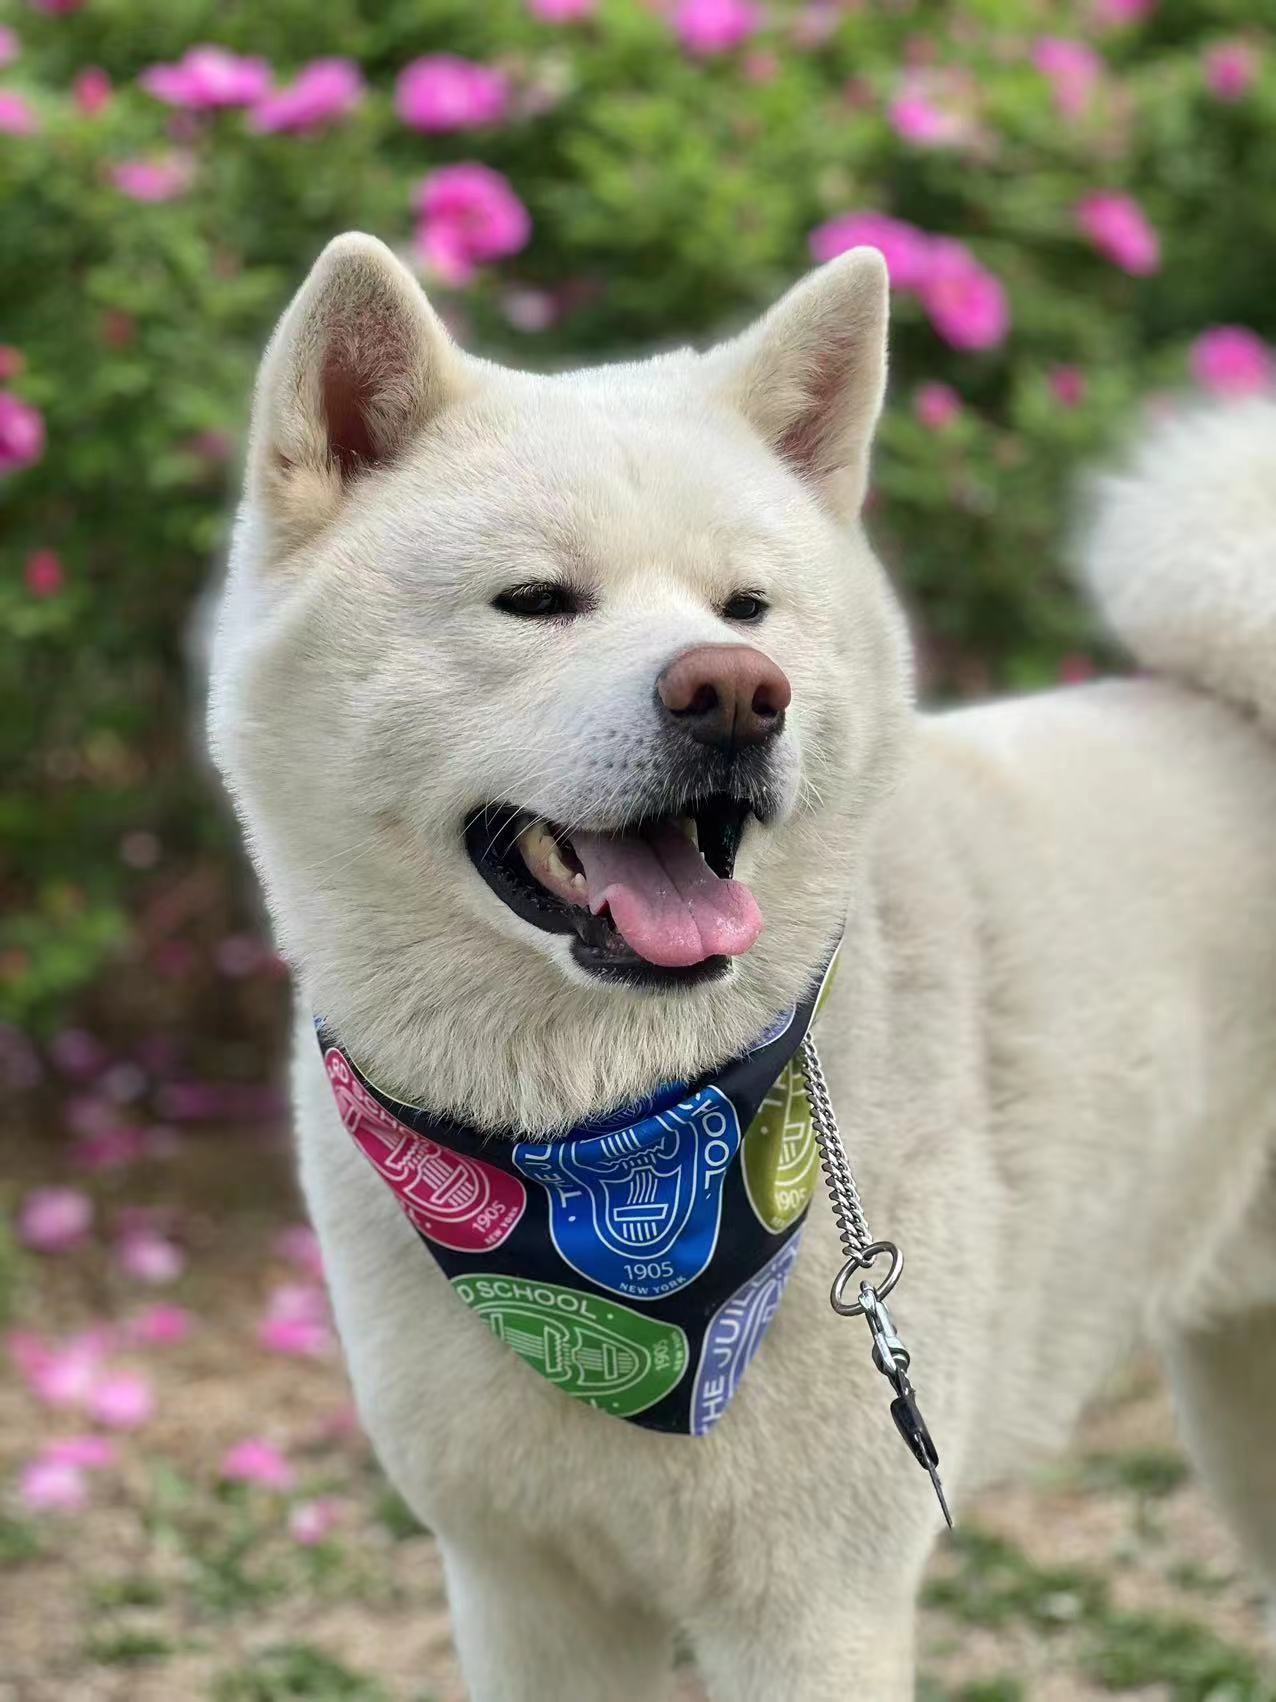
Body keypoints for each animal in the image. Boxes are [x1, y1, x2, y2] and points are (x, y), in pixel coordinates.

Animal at [205, 229, 1276, 1702]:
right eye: (534, 601)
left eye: (747, 607)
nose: (732, 691)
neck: (597, 1142)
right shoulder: (524, 1591)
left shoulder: (812, 1607)